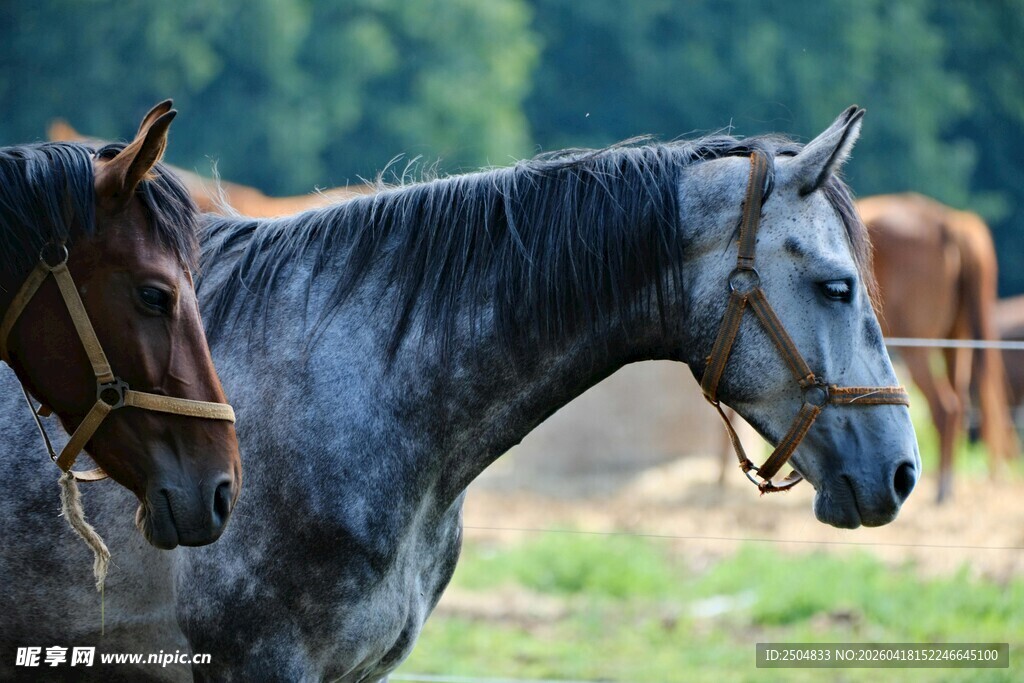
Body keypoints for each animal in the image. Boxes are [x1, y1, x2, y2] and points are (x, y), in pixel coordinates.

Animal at [859, 193, 1017, 502]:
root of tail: (948, 221)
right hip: (955, 342)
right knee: (958, 407)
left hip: (919, 347)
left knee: (945, 408)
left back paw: (941, 489)